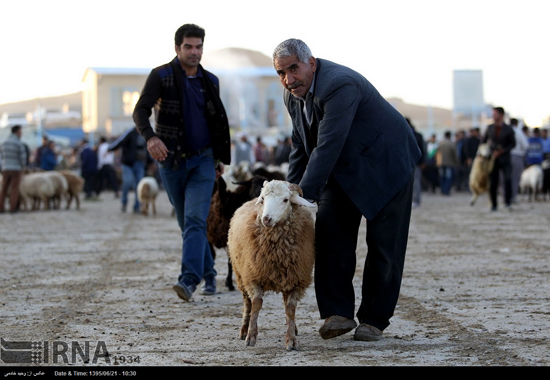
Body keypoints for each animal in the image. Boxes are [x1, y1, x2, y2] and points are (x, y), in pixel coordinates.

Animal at [227, 180, 314, 350]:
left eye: (286, 200)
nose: (266, 219)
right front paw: (251, 336)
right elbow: (256, 305)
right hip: (240, 275)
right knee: (247, 303)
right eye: (263, 199)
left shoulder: (295, 279)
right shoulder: (253, 276)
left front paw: (291, 339)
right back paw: (243, 330)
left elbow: (290, 309)